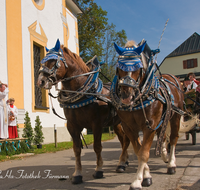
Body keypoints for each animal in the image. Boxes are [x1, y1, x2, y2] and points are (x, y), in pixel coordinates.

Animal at [37, 39, 130, 184]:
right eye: (43, 61)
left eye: (53, 61)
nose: (40, 81)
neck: (84, 93)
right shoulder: (72, 125)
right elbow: (76, 149)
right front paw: (77, 174)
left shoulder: (96, 124)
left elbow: (97, 147)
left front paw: (98, 170)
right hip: (117, 124)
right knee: (124, 140)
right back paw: (124, 162)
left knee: (126, 140)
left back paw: (121, 164)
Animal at [111, 39, 184, 189]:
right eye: (119, 66)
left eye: (138, 67)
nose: (126, 96)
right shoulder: (129, 128)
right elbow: (138, 151)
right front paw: (146, 176)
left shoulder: (149, 126)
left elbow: (144, 153)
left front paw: (137, 181)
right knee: (163, 136)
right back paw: (164, 155)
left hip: (175, 117)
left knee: (173, 138)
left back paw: (171, 164)